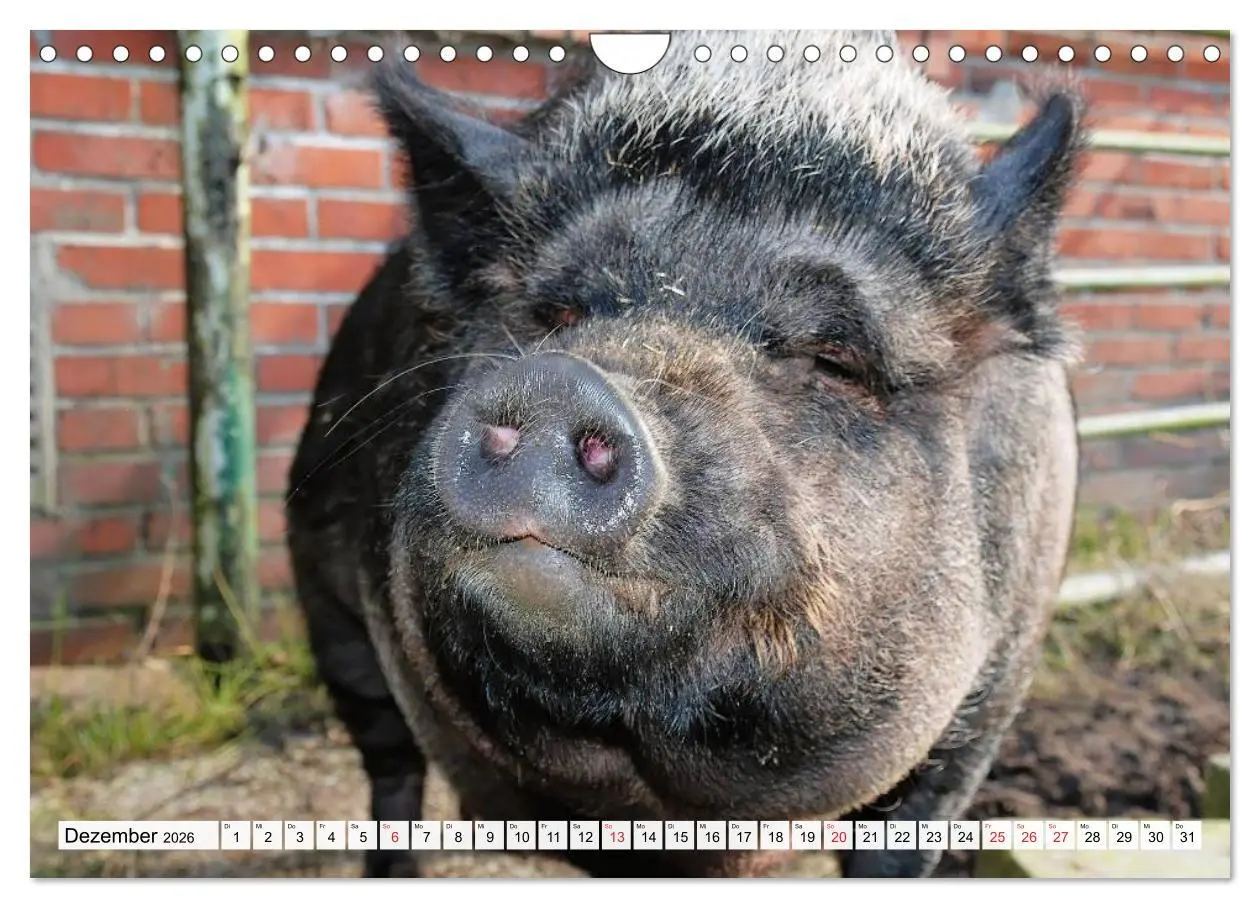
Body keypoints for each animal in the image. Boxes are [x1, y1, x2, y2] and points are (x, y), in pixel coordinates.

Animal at [285, 29, 1084, 878]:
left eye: (835, 358)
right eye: (555, 316)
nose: (559, 382)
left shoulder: (983, 710)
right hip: (327, 606)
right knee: (388, 760)